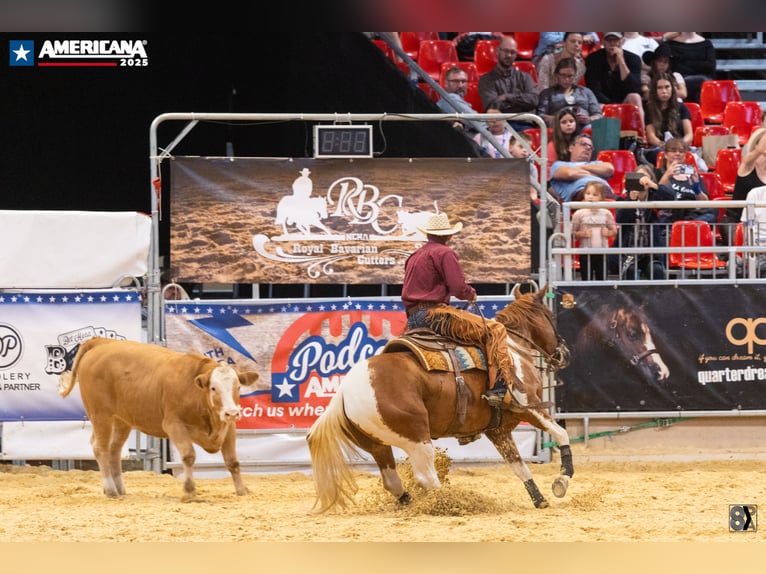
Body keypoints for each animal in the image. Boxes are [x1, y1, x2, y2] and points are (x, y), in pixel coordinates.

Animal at [306, 284, 572, 511]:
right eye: (551, 315)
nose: (563, 353)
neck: (512, 350)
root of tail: (344, 392)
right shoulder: (530, 405)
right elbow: (561, 434)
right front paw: (562, 479)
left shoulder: (498, 430)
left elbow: (519, 466)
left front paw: (539, 499)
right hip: (416, 436)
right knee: (426, 477)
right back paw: (451, 502)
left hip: (377, 444)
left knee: (392, 481)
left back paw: (412, 504)